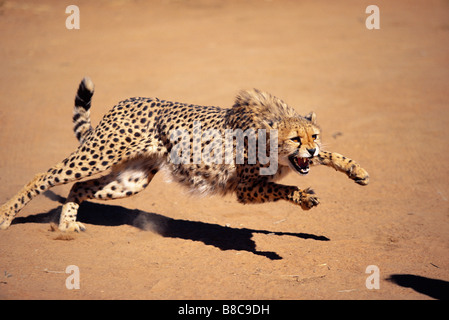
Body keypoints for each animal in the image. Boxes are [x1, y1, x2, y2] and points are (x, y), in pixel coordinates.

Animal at [0, 78, 368, 232]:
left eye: (314, 136)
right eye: (295, 138)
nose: (311, 147)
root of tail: (126, 100)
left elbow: (331, 155)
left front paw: (356, 170)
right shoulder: (246, 189)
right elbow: (284, 187)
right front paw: (303, 197)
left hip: (131, 180)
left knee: (79, 187)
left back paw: (66, 225)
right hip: (99, 153)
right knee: (45, 176)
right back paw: (6, 216)